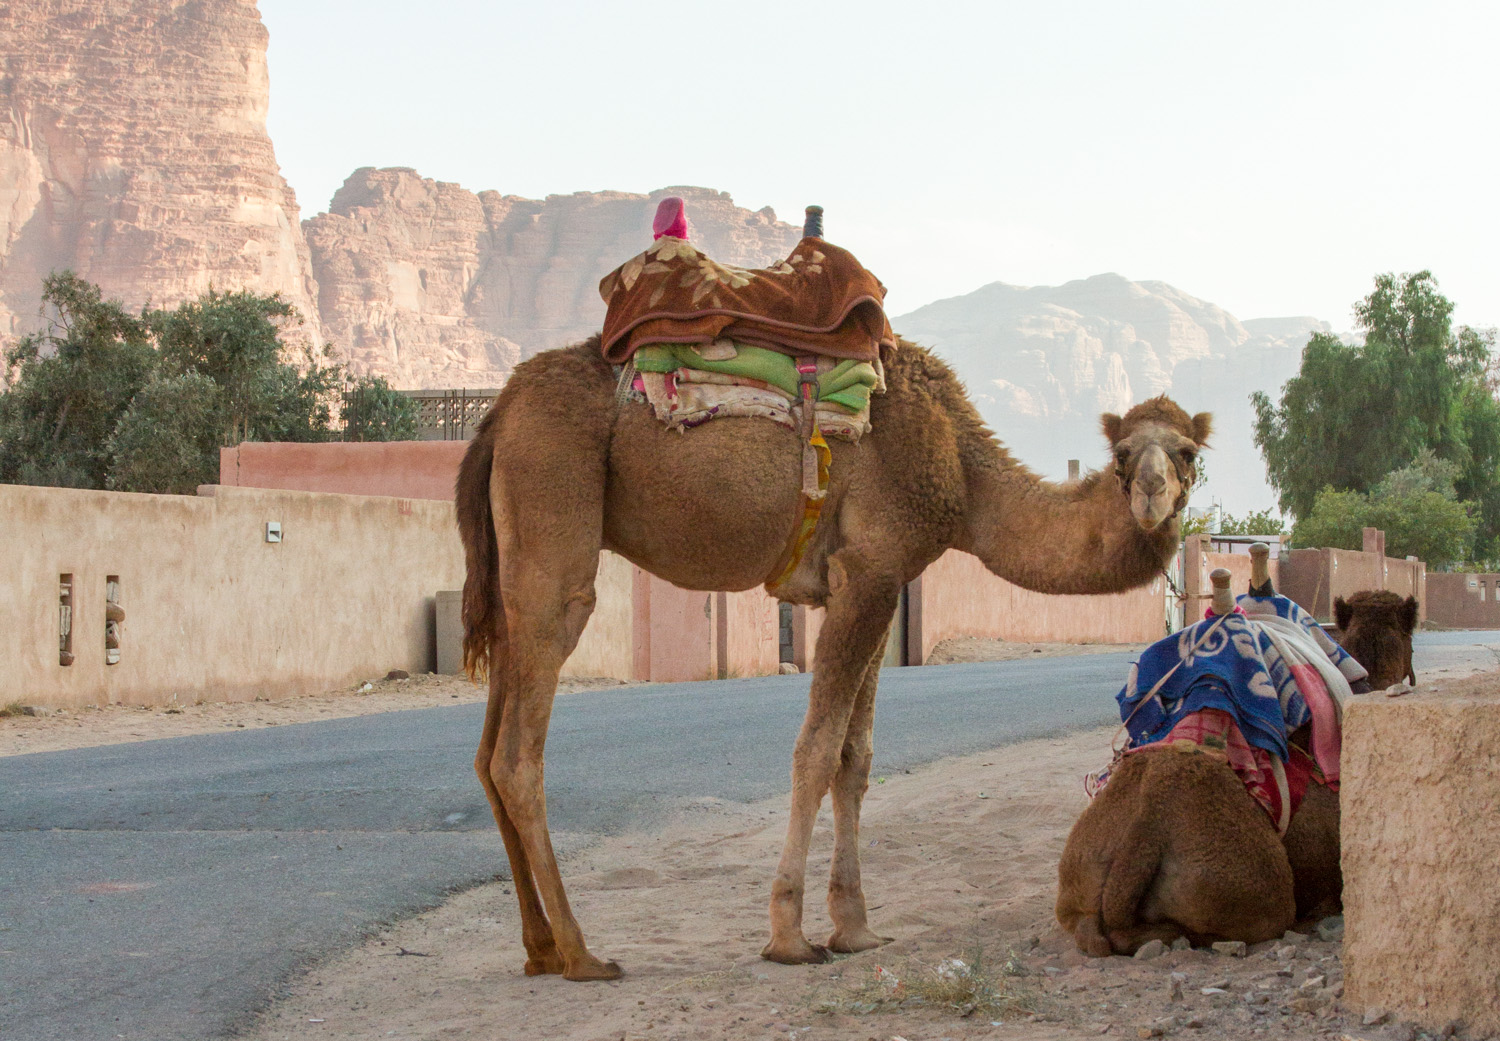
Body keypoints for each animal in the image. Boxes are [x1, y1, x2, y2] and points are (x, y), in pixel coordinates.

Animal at [453, 330, 1206, 984]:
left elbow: (856, 757)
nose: (1150, 493)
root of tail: (499, 415)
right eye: (1122, 454)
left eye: (1189, 452)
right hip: (553, 521)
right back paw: (583, 953)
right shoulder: (869, 571)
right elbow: (816, 751)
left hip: (510, 574)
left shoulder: (874, 580)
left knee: (486, 755)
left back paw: (540, 948)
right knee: (518, 754)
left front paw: (855, 928)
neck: (962, 474)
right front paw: (789, 937)